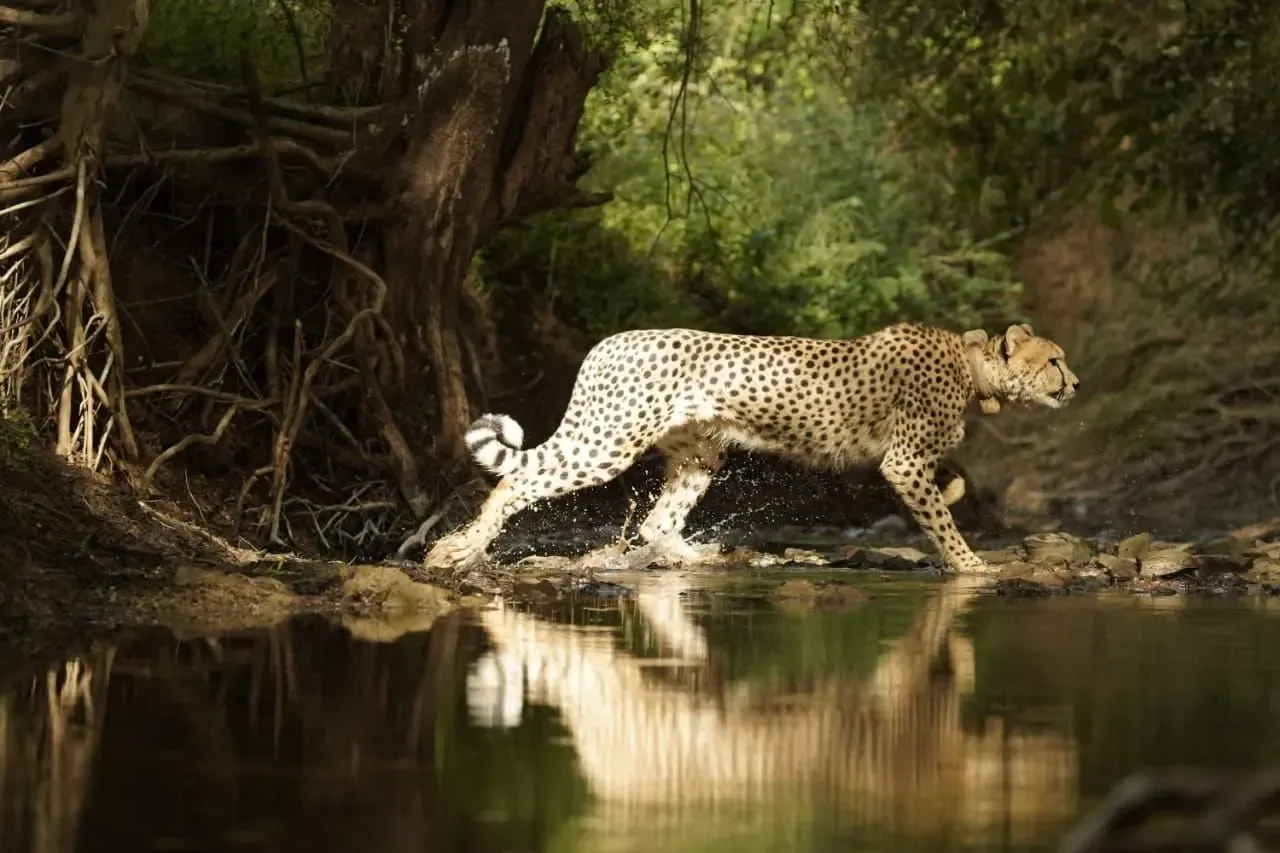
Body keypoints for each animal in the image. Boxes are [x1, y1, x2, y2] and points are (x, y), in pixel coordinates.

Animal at [422, 321, 1079, 575]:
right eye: (1054, 360)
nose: (1074, 384)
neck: (974, 372)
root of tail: (610, 341)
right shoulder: (903, 461)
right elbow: (941, 522)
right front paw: (971, 565)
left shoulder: (911, 463)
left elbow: (950, 491)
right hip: (610, 439)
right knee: (517, 481)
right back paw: (459, 550)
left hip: (699, 453)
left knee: (658, 523)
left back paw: (702, 558)